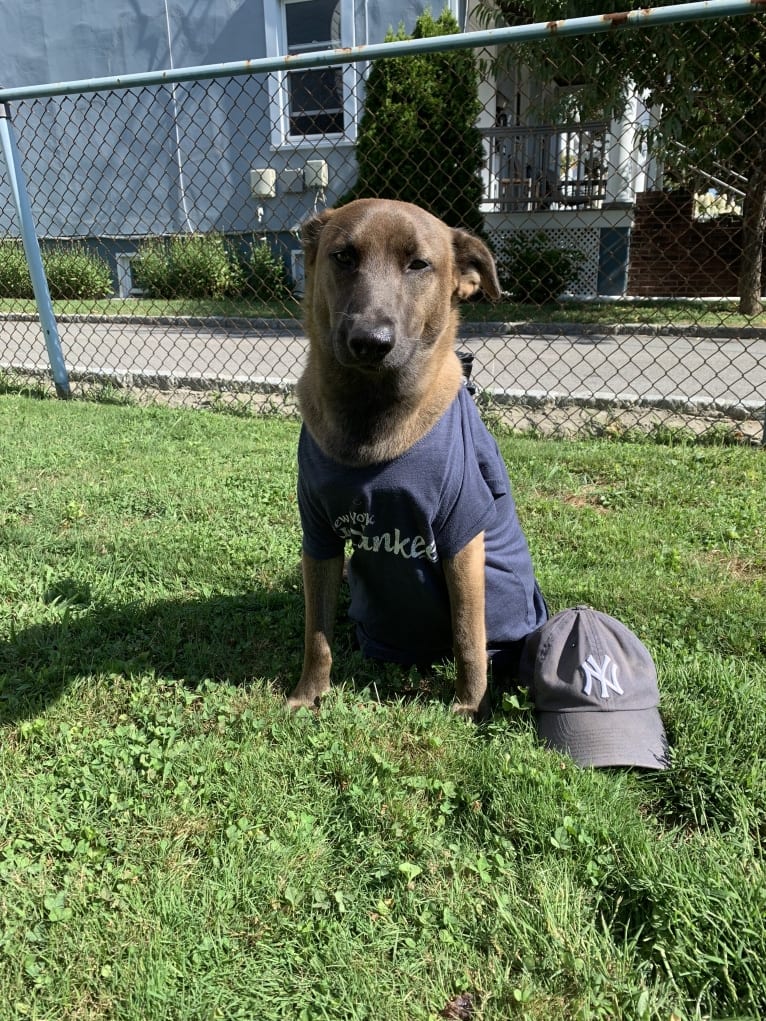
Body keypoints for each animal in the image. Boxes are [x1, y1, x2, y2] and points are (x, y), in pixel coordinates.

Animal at [285, 199, 547, 718]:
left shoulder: (461, 539)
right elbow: (315, 633)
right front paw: (309, 693)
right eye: (343, 257)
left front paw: (469, 706)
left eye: (419, 265)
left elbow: (467, 634)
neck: (371, 420)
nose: (370, 340)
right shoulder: (319, 534)